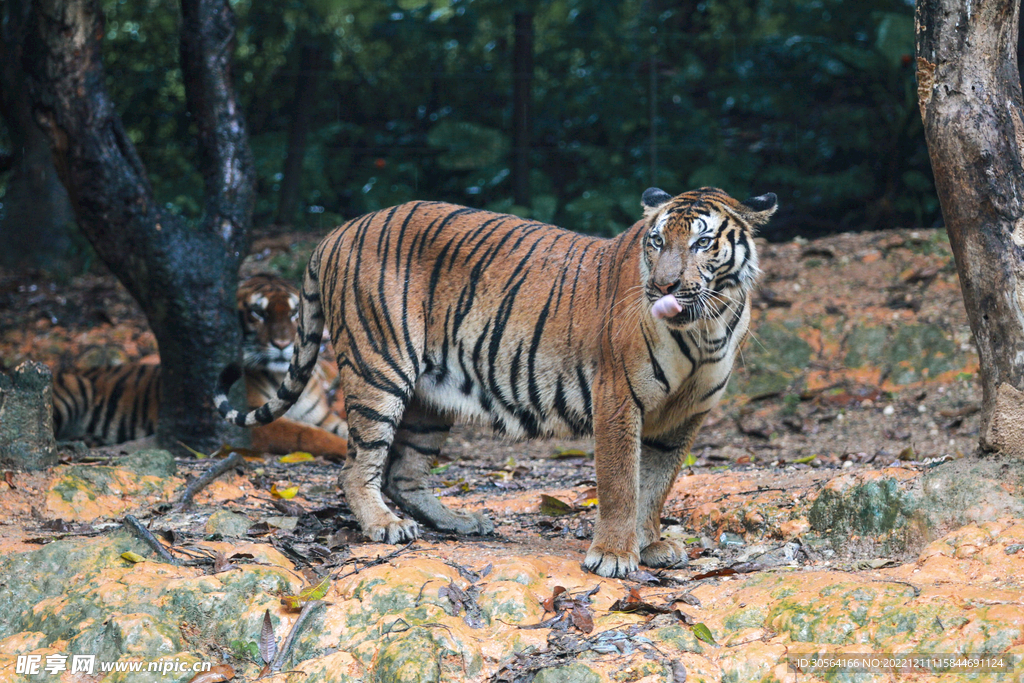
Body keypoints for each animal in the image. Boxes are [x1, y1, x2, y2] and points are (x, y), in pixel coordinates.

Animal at [53, 274, 349, 458]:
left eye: (294, 312)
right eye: (258, 313)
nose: (282, 344)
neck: (283, 376)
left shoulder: (323, 417)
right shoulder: (257, 421)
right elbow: (310, 436)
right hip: (71, 392)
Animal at [215, 187, 776, 578]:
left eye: (702, 242)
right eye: (657, 241)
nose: (663, 286)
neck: (705, 328)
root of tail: (339, 230)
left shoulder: (683, 419)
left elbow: (656, 487)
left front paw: (651, 544)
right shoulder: (618, 400)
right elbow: (621, 484)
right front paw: (615, 555)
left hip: (429, 398)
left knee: (405, 473)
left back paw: (459, 523)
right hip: (381, 369)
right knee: (357, 467)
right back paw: (383, 525)